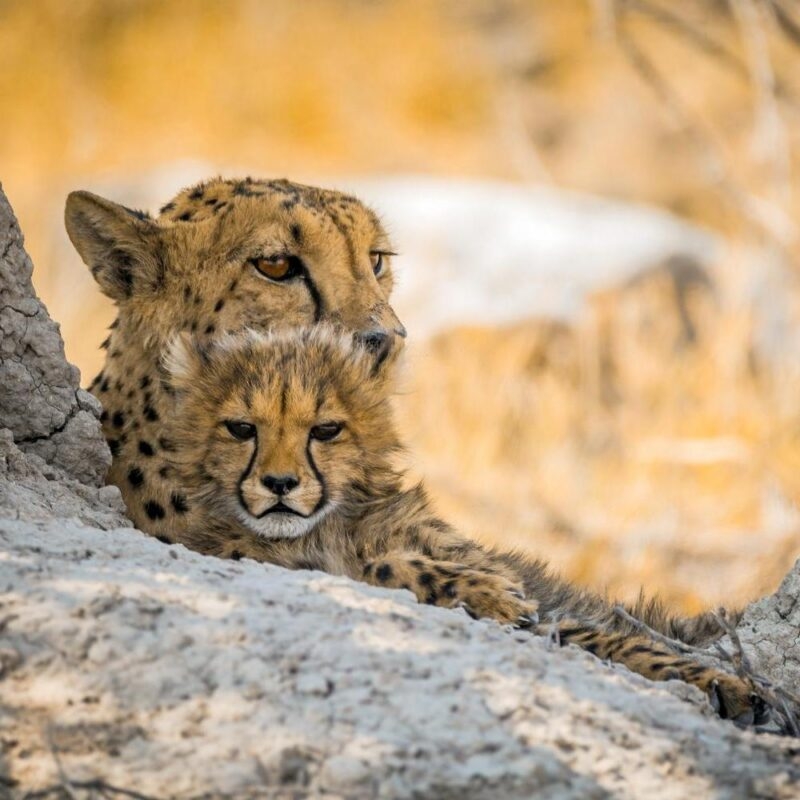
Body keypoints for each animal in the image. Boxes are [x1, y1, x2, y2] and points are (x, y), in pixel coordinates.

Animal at [163, 323, 768, 726]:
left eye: (326, 429)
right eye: (242, 428)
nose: (280, 483)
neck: (326, 527)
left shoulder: (544, 603)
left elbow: (599, 634)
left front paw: (723, 683)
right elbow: (384, 565)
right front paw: (486, 594)